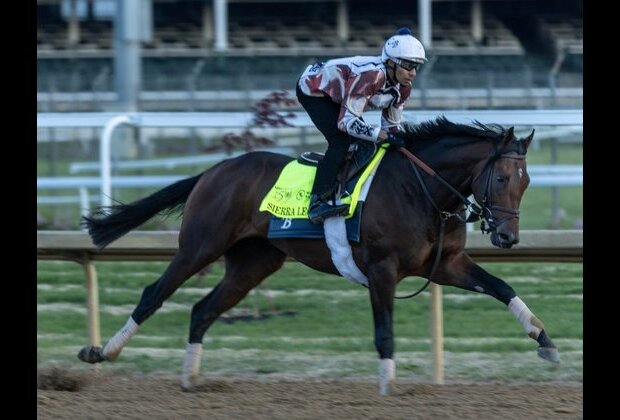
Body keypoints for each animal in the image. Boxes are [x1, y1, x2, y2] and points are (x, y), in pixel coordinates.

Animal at [76, 116, 556, 396]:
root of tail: (215, 169)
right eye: (501, 178)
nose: (508, 237)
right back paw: (101, 352)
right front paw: (388, 385)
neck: (421, 190)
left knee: (202, 309)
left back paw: (190, 378)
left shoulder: (445, 265)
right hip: (199, 246)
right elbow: (385, 333)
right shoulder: (382, 270)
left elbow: (503, 288)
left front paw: (545, 341)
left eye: (527, 181)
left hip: (253, 263)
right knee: (153, 294)